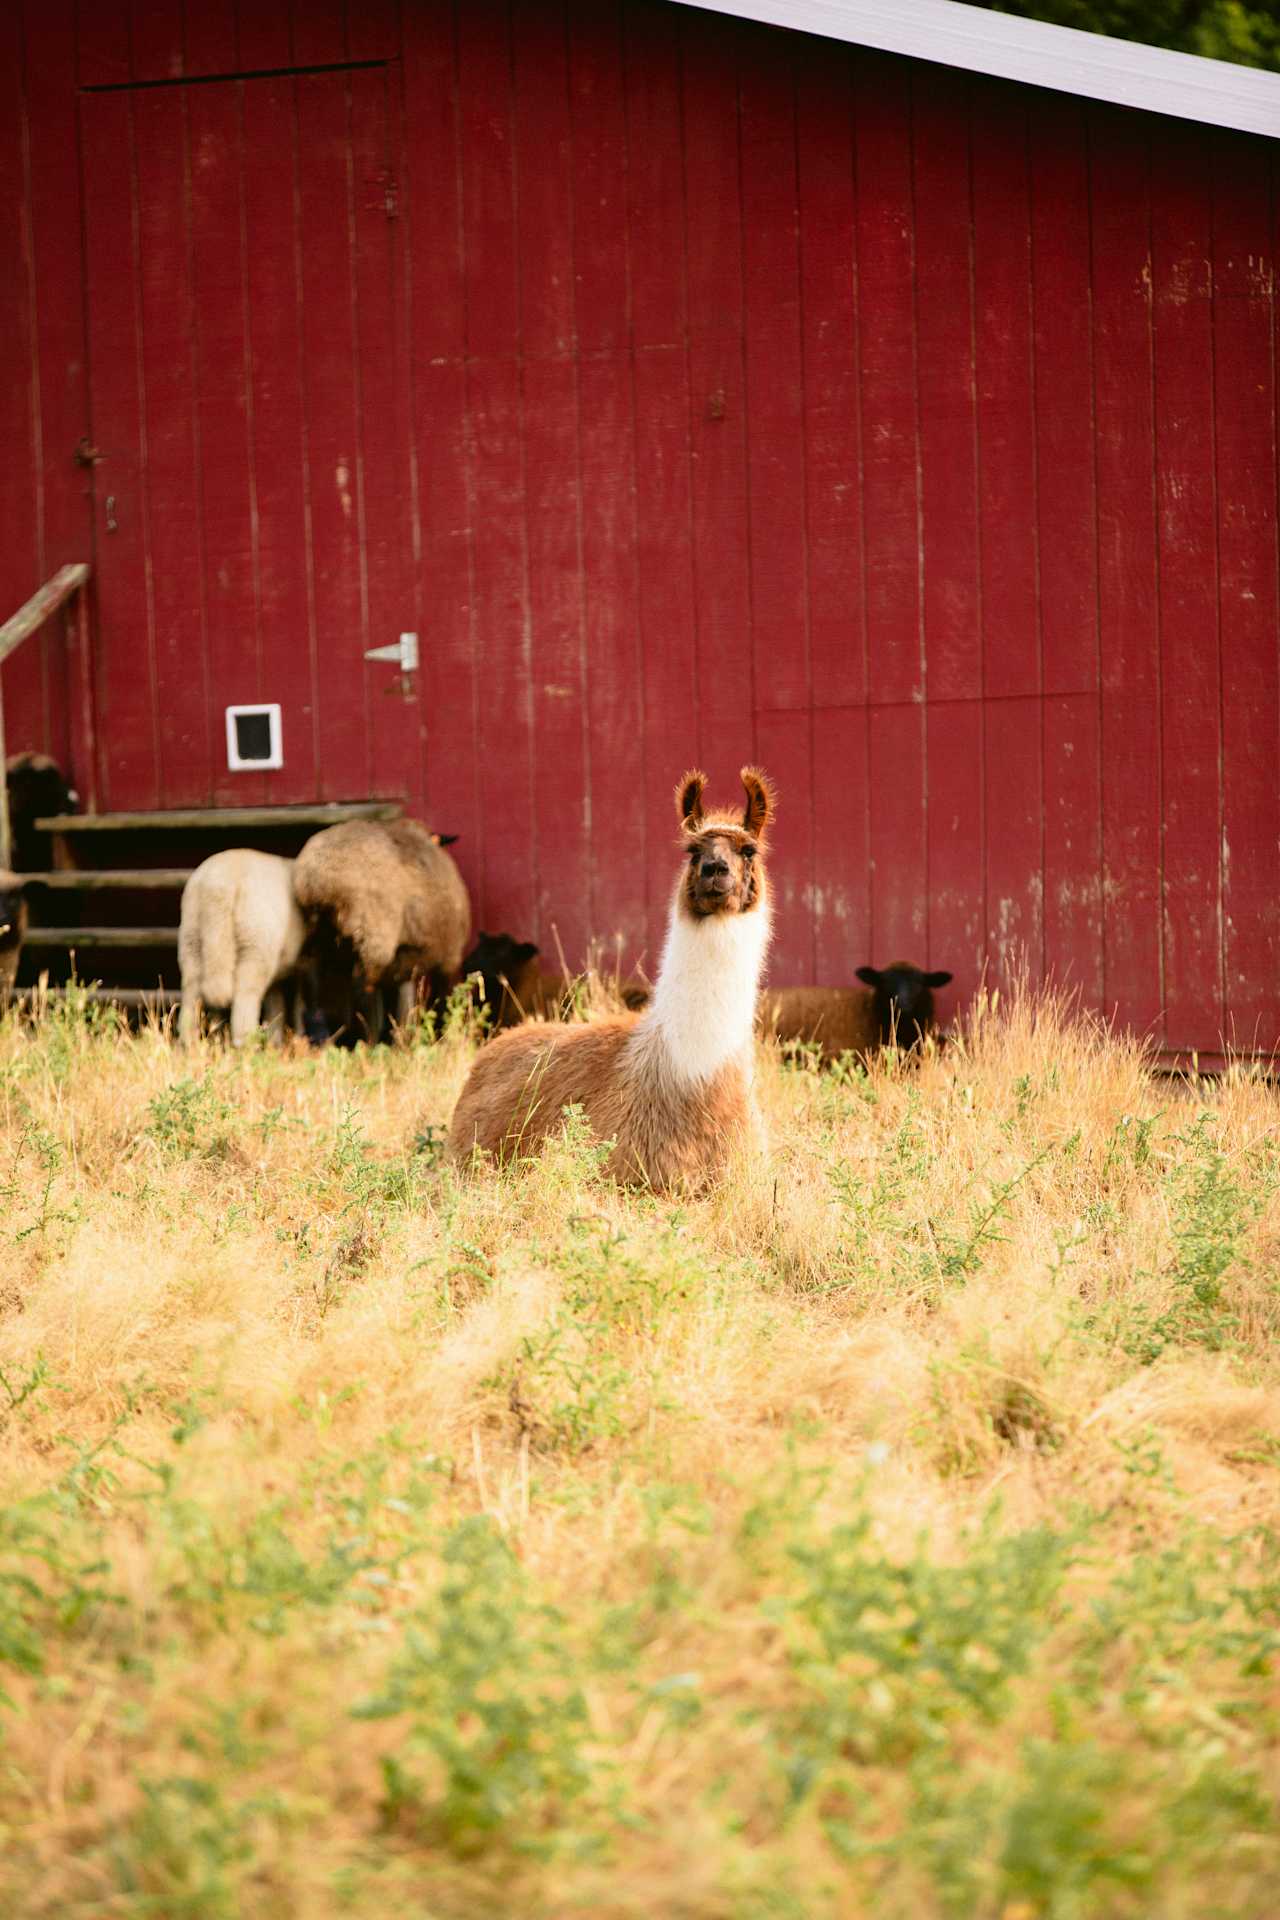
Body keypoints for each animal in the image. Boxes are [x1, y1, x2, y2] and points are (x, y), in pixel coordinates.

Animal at [177, 848, 307, 1044]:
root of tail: (216, 891)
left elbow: (276, 1005)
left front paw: (275, 1042)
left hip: (191, 940)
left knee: (190, 1001)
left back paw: (190, 1044)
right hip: (254, 945)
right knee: (245, 999)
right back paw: (245, 1045)